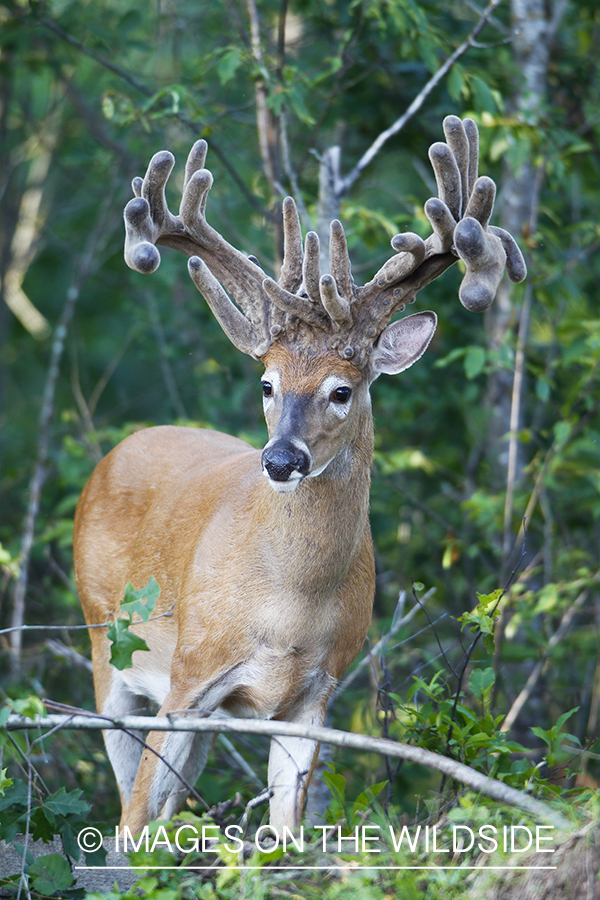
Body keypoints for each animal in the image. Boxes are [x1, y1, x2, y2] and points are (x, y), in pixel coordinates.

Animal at [74, 116, 524, 832]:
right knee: (126, 796)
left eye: (342, 390)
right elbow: (132, 819)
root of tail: (120, 450)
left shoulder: (316, 696)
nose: (282, 460)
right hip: (104, 641)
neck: (287, 607)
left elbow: (286, 832)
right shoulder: (189, 674)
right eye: (267, 382)